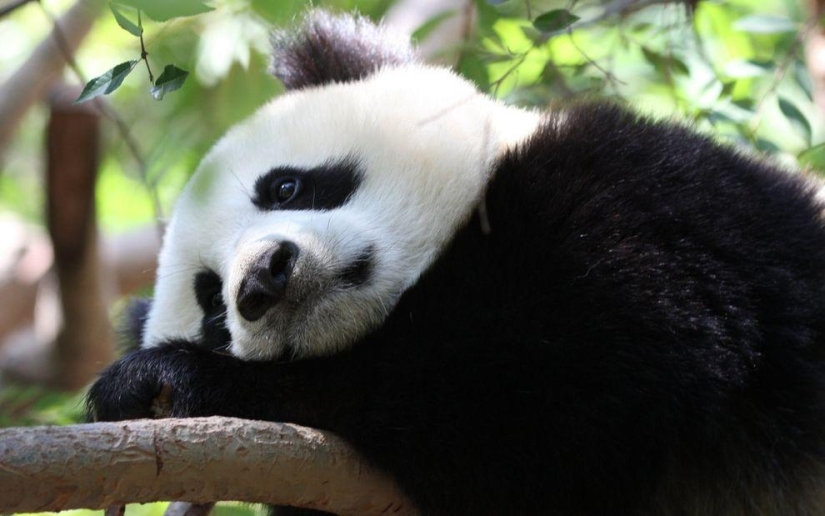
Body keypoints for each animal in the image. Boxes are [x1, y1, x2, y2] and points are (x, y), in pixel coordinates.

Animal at [88, 10, 825, 515]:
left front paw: (168, 380)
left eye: (286, 187)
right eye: (213, 305)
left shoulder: (647, 203)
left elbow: (557, 383)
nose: (264, 278)